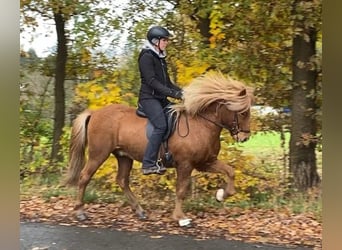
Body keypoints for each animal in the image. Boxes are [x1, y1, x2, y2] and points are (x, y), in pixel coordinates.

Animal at [65, 71, 255, 227]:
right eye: (243, 112)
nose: (244, 138)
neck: (201, 124)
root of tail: (94, 113)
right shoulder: (185, 165)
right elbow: (181, 190)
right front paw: (180, 218)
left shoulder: (206, 162)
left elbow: (230, 171)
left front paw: (222, 194)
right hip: (98, 154)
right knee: (84, 177)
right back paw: (80, 211)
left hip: (124, 156)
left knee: (122, 181)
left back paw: (139, 210)